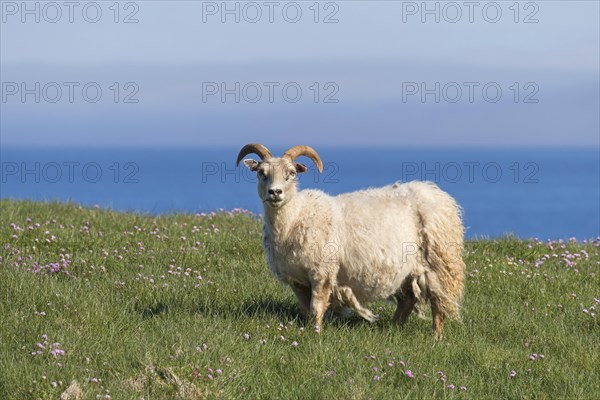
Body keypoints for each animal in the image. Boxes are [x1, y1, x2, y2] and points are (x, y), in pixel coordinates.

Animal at [237, 144, 466, 338]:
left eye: (292, 173)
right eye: (261, 173)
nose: (275, 192)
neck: (295, 217)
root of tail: (438, 194)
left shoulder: (322, 271)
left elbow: (316, 307)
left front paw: (315, 333)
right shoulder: (296, 279)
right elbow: (306, 308)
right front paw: (309, 329)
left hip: (439, 261)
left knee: (438, 301)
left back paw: (436, 337)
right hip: (406, 269)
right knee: (407, 300)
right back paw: (393, 329)